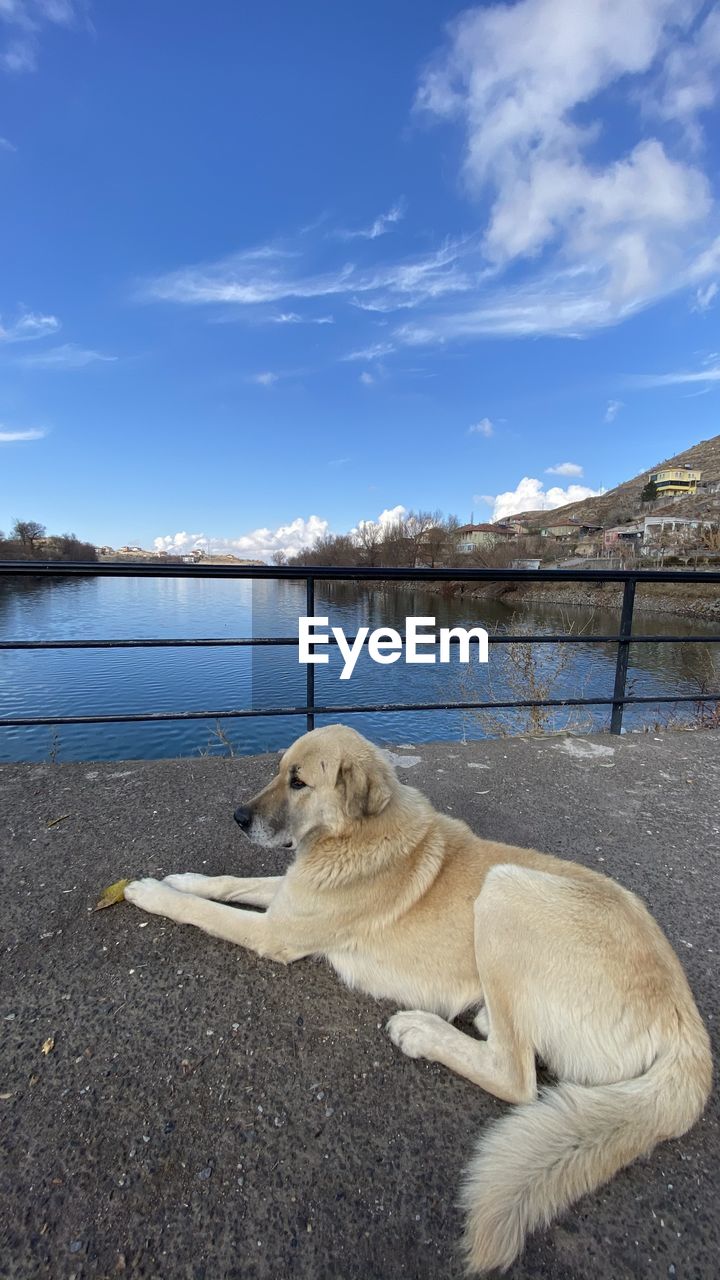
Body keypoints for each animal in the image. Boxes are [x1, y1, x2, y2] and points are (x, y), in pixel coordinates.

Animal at [126, 727, 707, 1274]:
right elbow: (233, 881)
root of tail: (685, 1020)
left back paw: (423, 1031)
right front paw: (184, 877)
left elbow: (206, 911)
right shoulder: (287, 900)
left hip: (505, 891)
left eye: (299, 782)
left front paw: (152, 892)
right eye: (278, 771)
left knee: (515, 1075)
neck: (356, 835)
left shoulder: (277, 933)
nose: (238, 817)